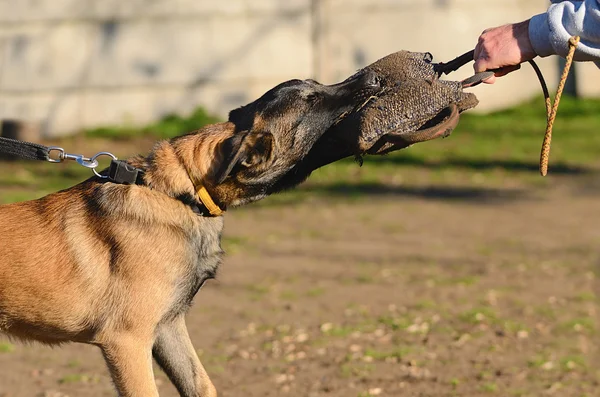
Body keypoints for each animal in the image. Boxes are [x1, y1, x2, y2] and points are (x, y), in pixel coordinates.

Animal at [0, 51, 478, 394]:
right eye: (313, 101)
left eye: (317, 86)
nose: (374, 80)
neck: (181, 194)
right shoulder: (127, 341)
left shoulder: (168, 330)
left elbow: (202, 385)